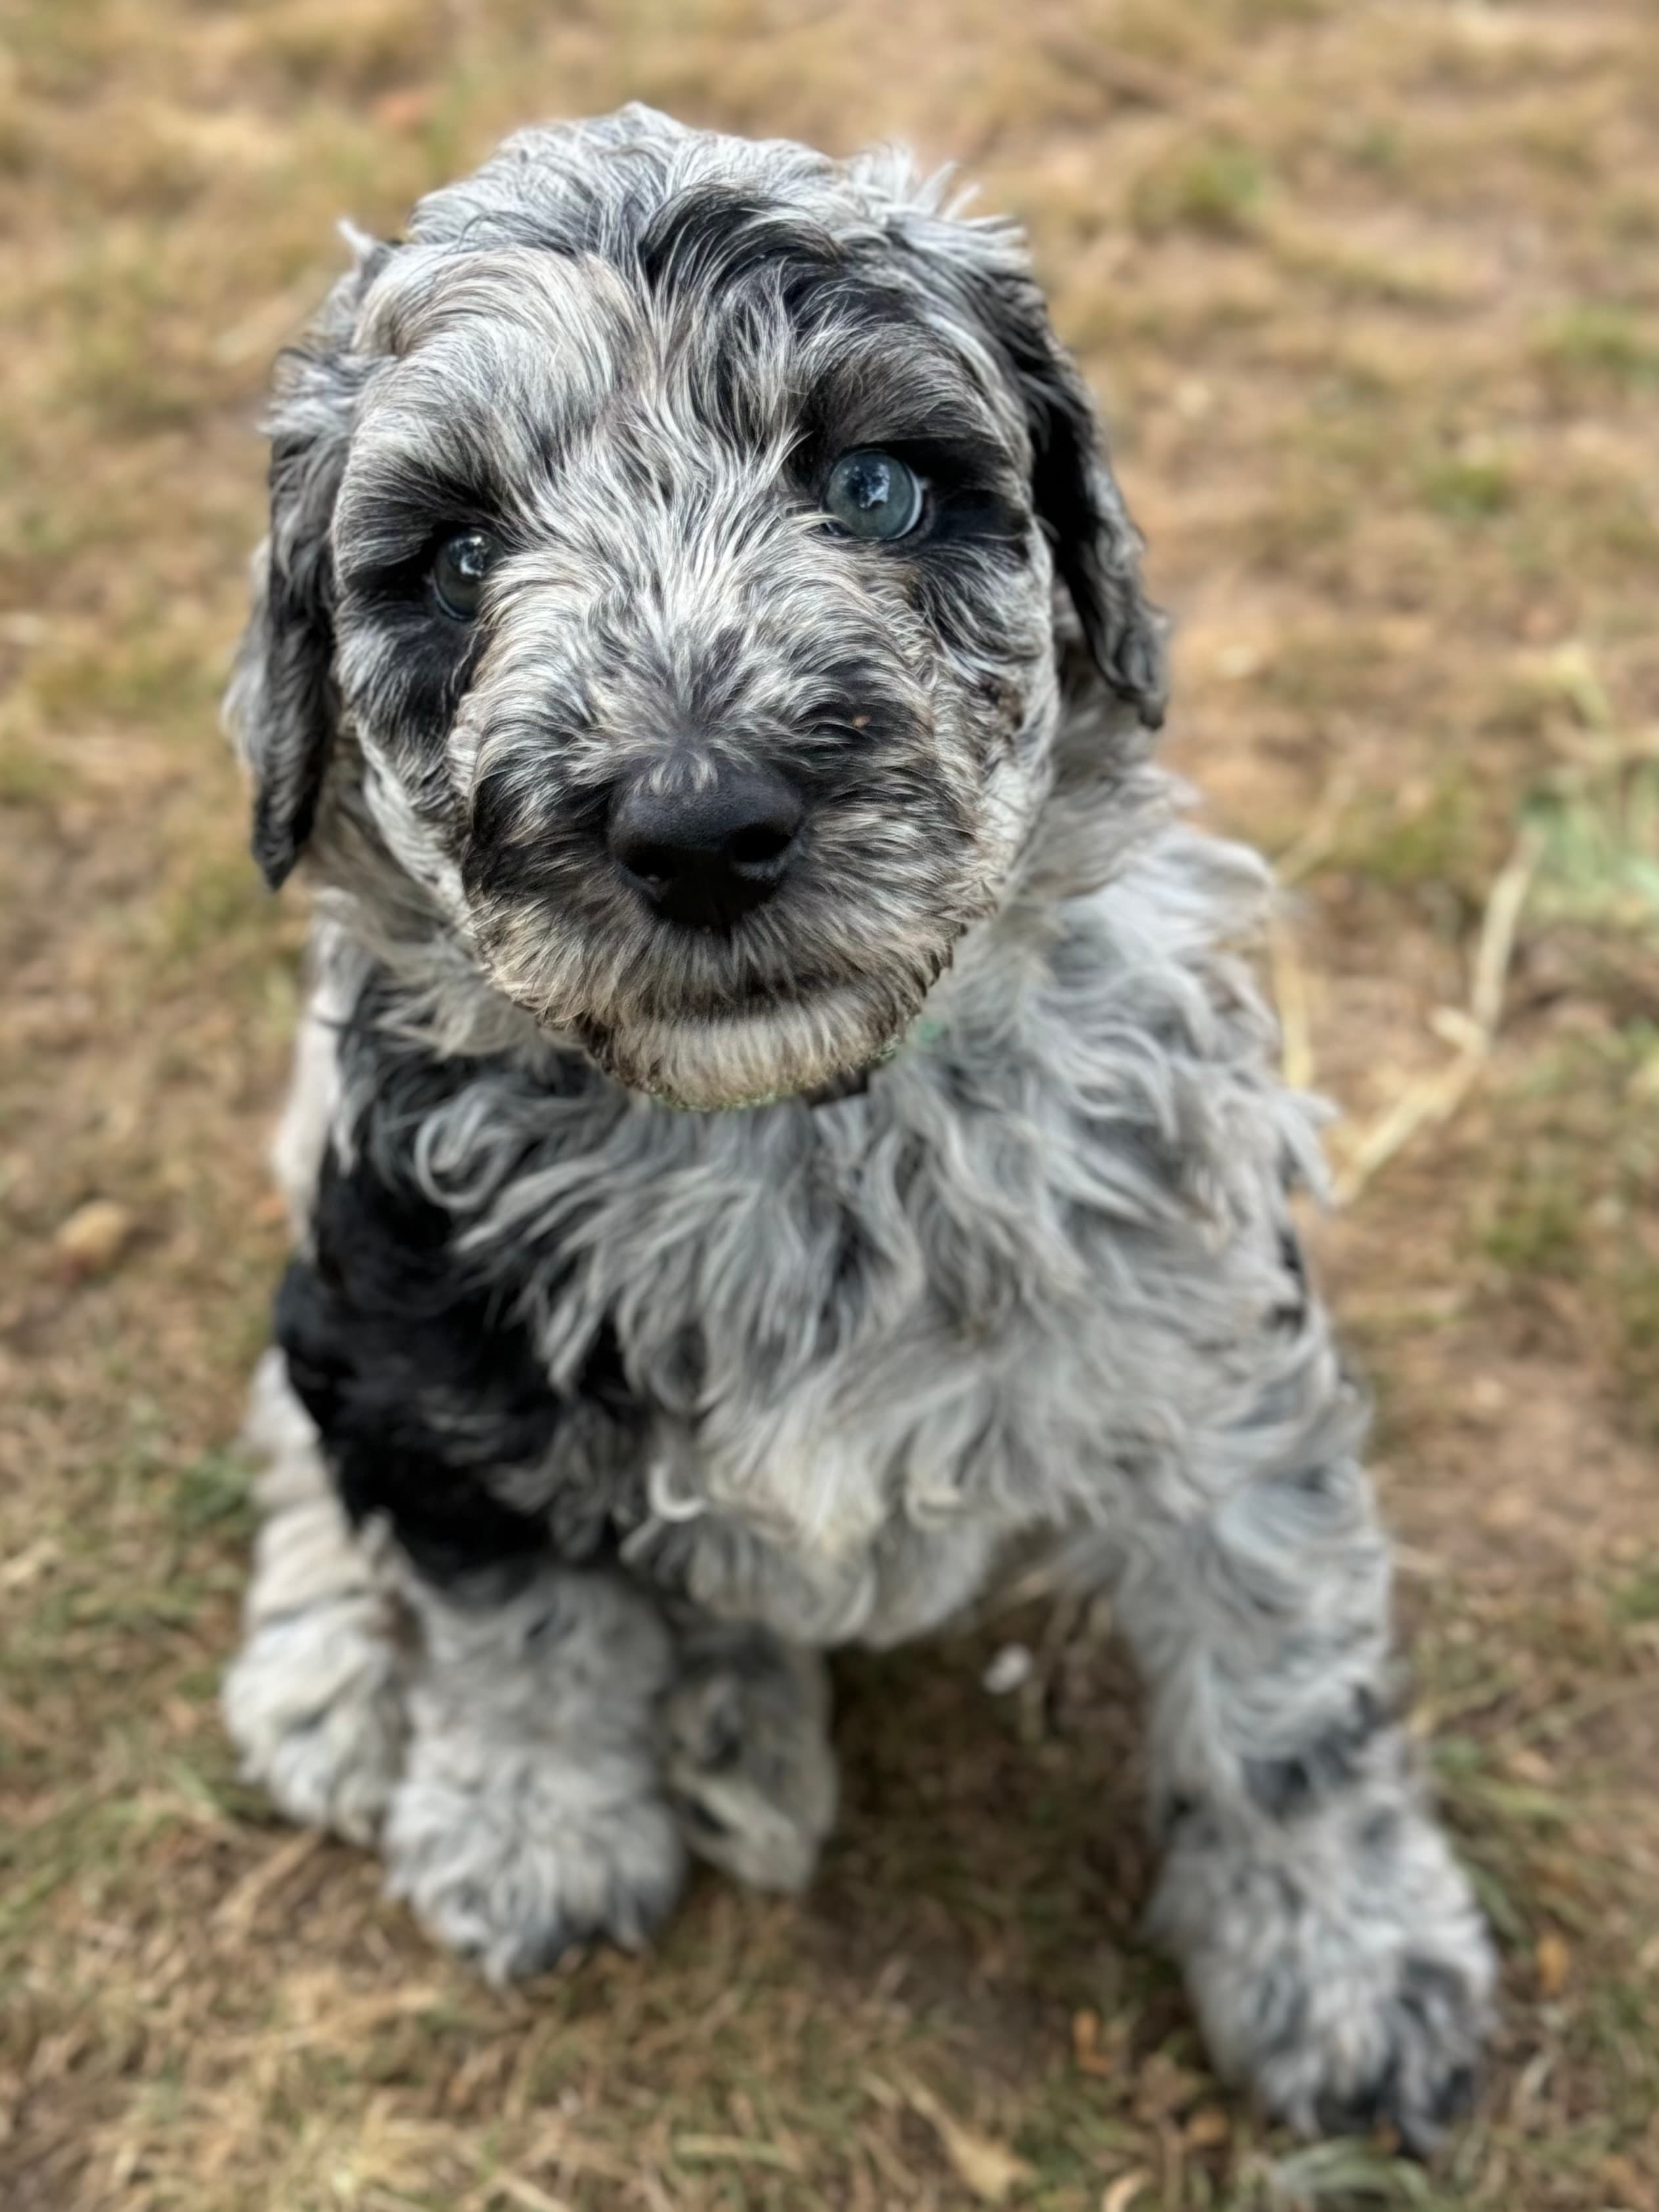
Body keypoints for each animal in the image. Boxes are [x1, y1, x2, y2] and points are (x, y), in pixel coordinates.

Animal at [217, 104, 1495, 2141]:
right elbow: (518, 1626)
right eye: (458, 551)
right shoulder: (417, 1339)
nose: (699, 822)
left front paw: (1353, 1974)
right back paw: (356, 1688)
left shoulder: (1216, 1364)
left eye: (878, 486)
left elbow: (1287, 1702)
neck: (791, 1135)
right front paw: (529, 1834)